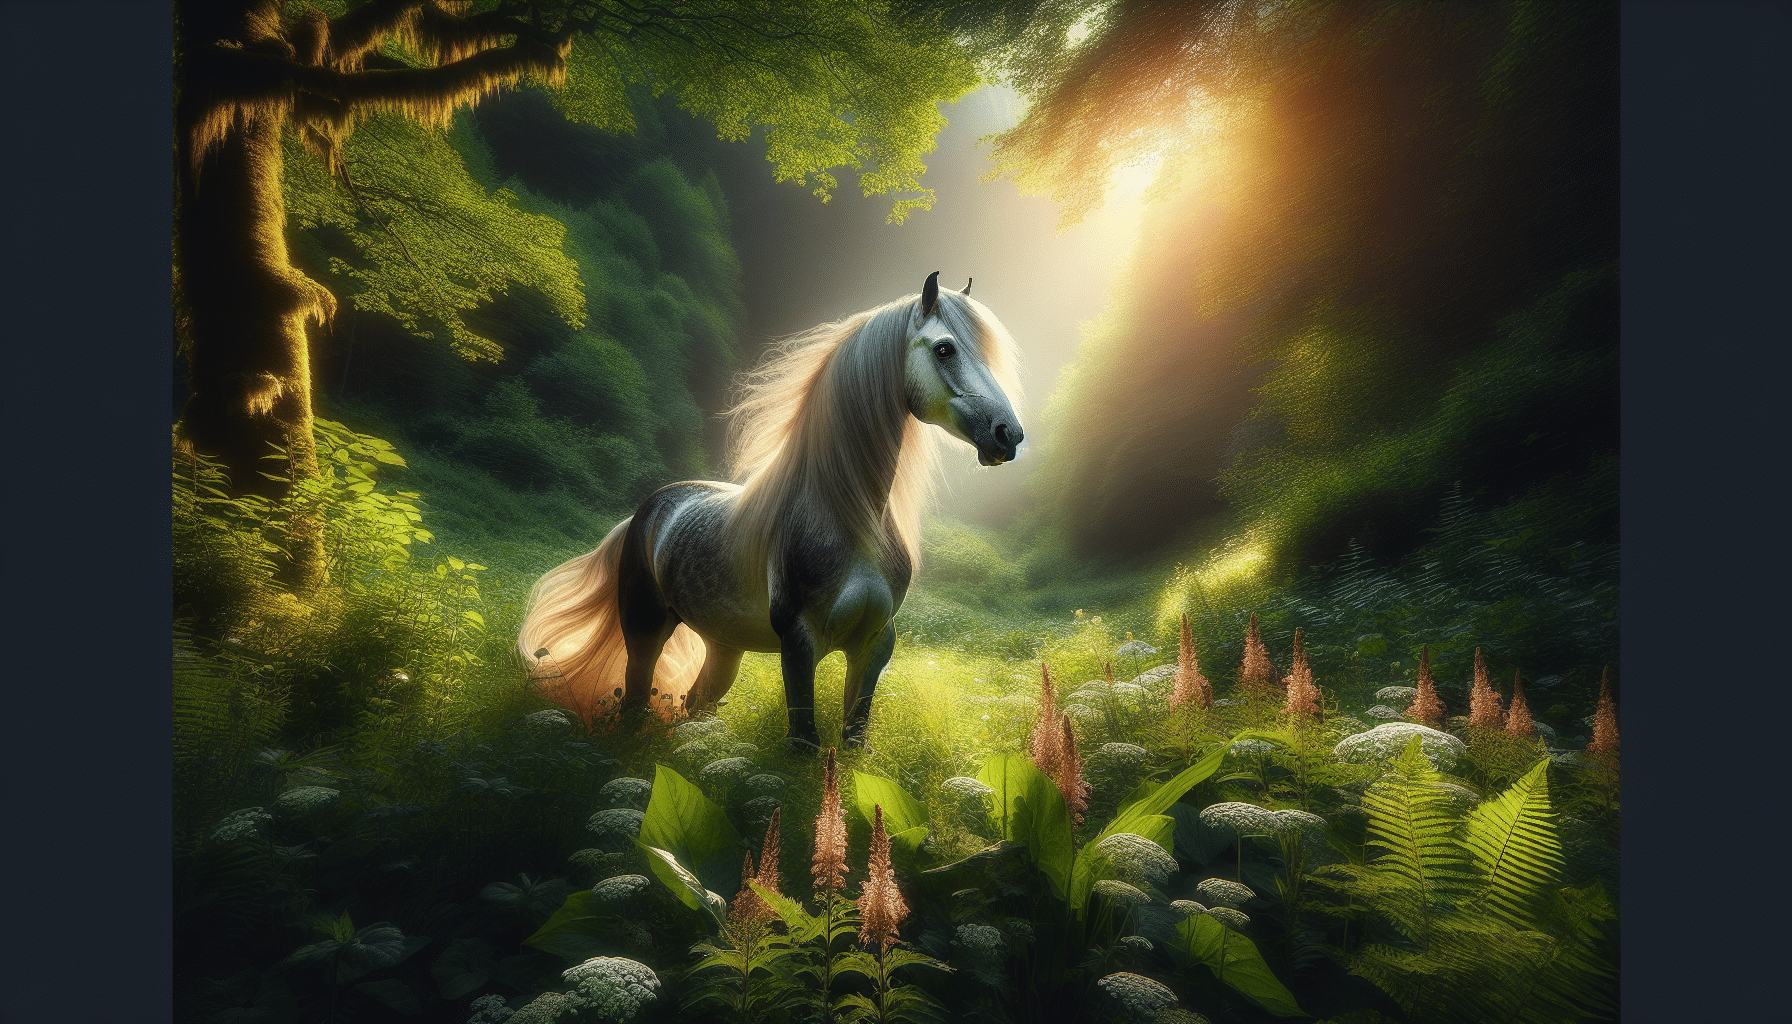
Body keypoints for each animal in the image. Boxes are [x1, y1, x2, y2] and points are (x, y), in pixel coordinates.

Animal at [518, 272, 1026, 751]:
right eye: (944, 349)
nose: (1009, 434)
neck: (849, 519)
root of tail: (644, 512)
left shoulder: (875, 645)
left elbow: (853, 741)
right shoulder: (798, 645)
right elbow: (803, 744)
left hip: (724, 645)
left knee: (697, 703)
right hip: (645, 630)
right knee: (637, 698)